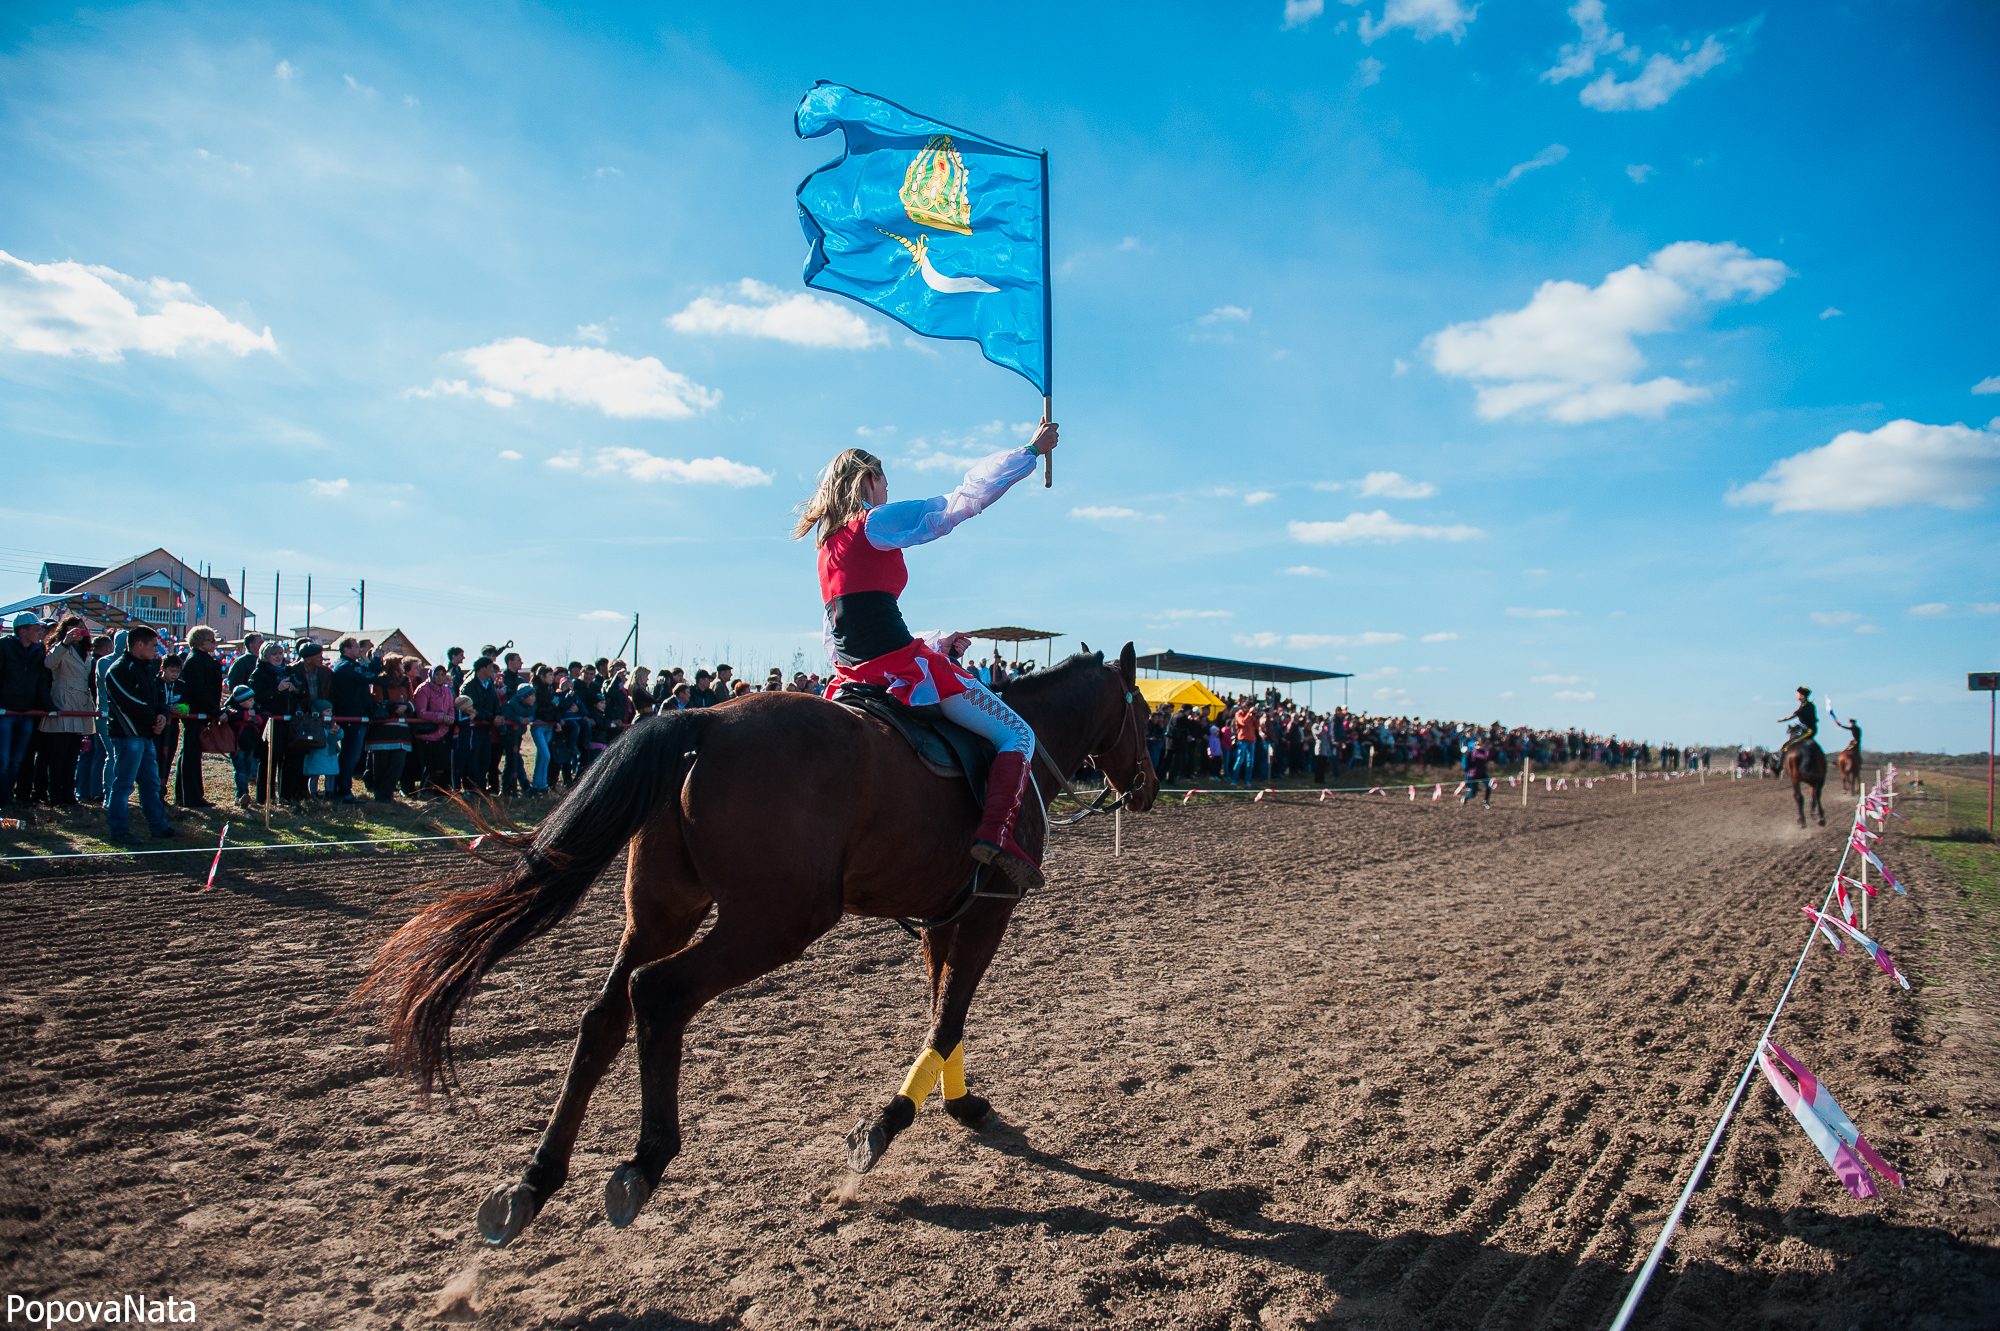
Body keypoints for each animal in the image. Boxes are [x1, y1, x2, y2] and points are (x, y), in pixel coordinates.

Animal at [360, 643, 1160, 1247]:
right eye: (1148, 716)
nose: (1150, 786)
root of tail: (705, 721)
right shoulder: (989, 912)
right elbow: (950, 1018)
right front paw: (883, 1127)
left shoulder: (942, 919)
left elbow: (942, 1016)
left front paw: (959, 1104)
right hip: (775, 922)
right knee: (659, 993)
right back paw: (646, 1159)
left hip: (662, 911)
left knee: (604, 1017)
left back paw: (535, 1179)